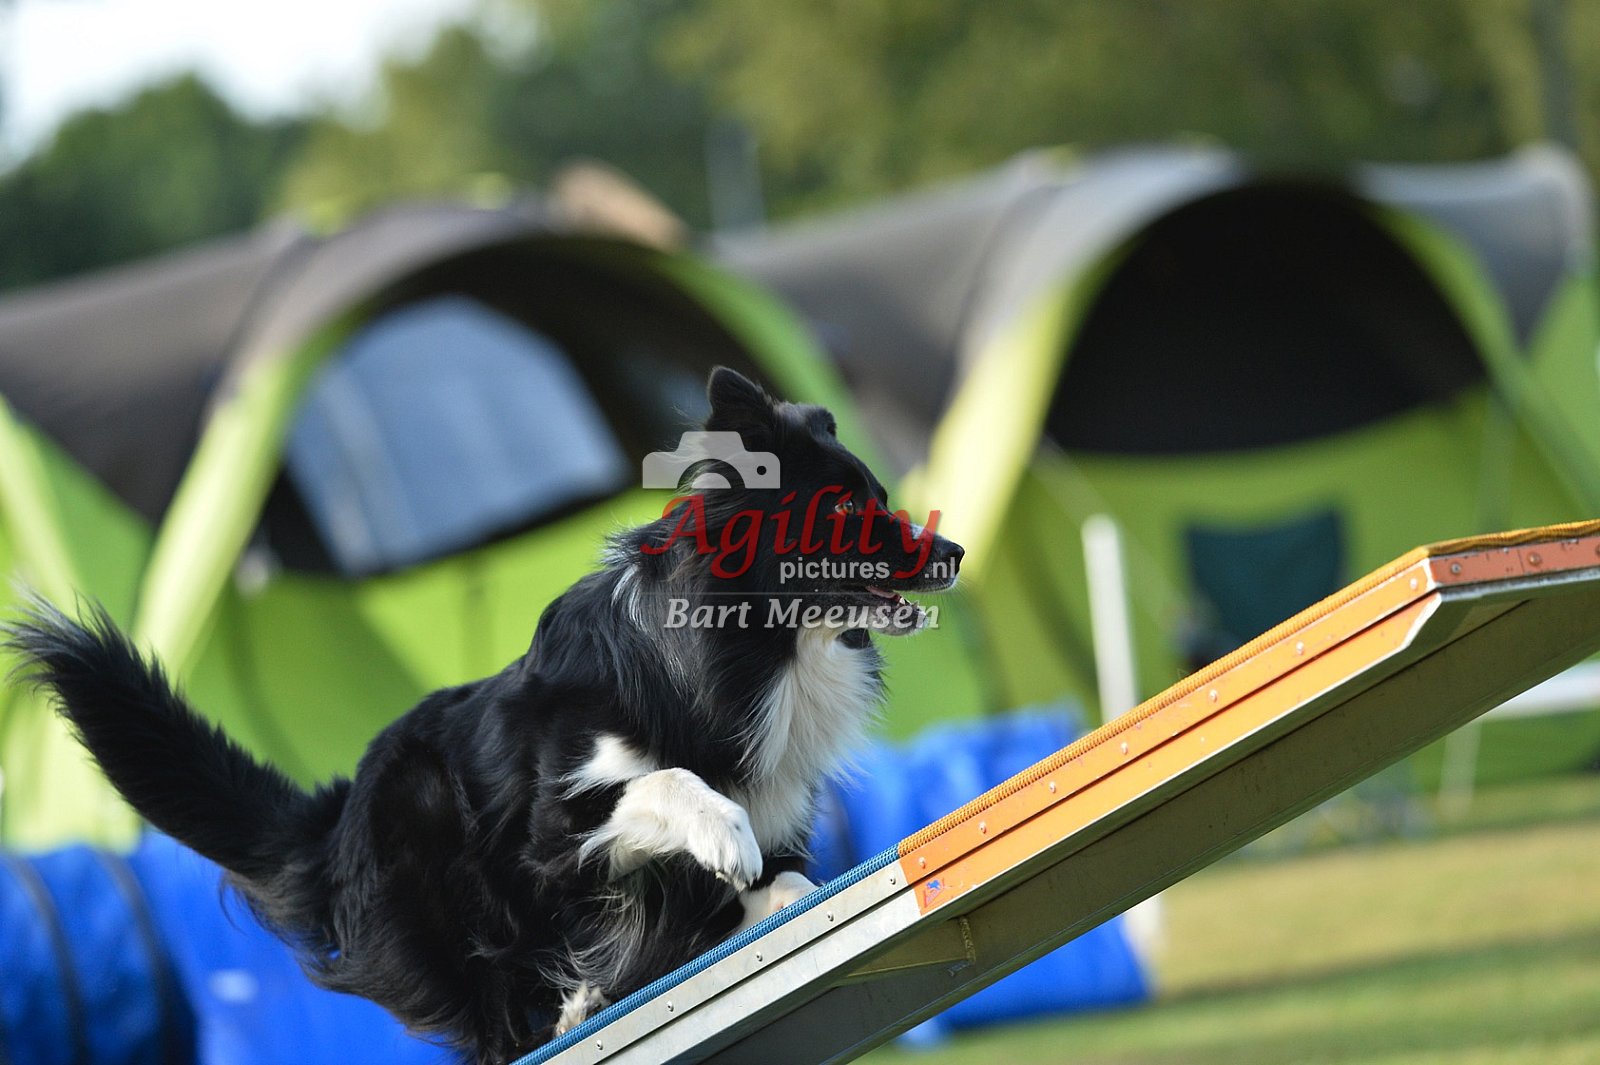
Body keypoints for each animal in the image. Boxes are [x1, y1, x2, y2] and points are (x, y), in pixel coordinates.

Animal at [5, 367, 963, 1063]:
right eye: (847, 508)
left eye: (878, 493)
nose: (953, 551)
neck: (745, 656)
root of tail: (335, 814)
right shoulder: (553, 820)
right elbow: (665, 781)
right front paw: (723, 834)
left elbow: (786, 882)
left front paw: (775, 893)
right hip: (425, 817)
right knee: (493, 1016)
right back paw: (563, 1010)